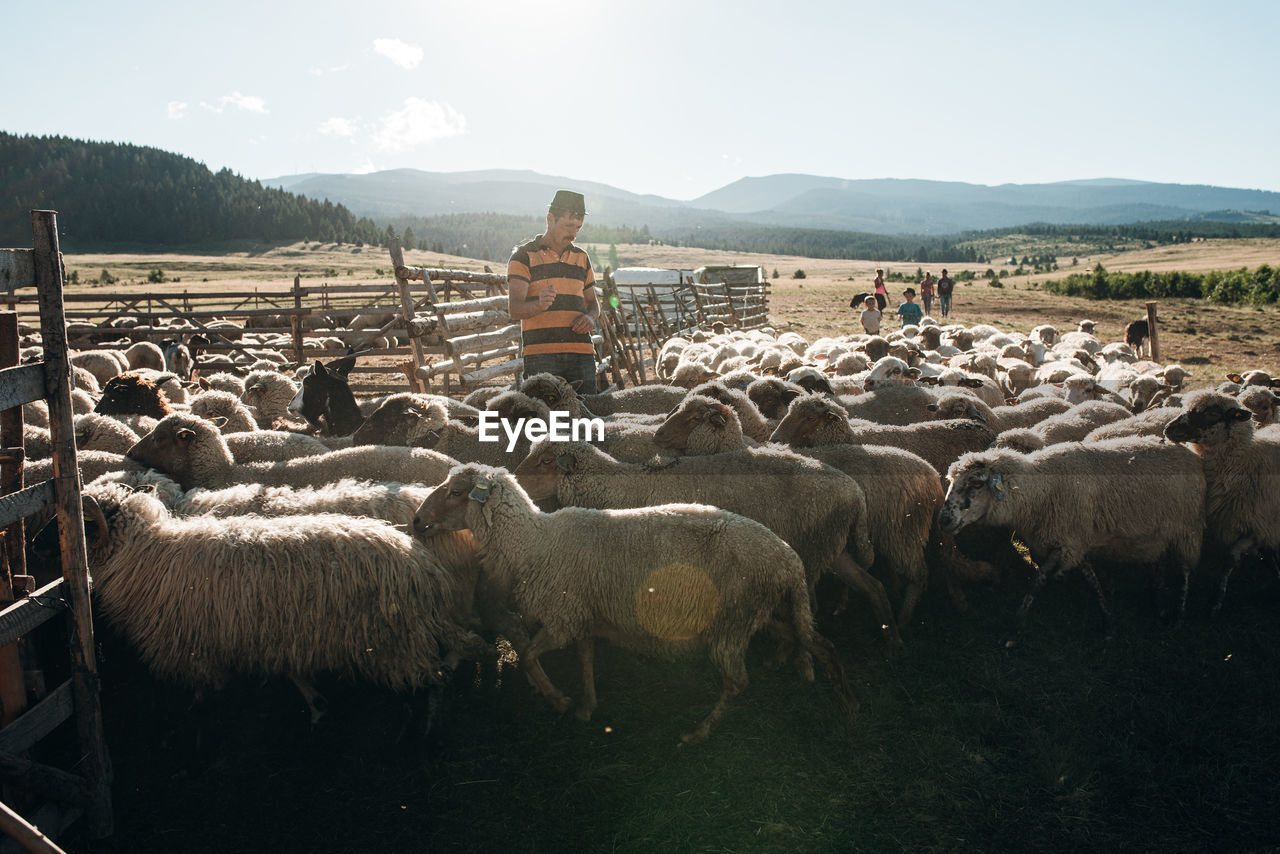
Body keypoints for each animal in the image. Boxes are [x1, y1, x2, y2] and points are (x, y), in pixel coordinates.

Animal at [49, 483, 483, 727]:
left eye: (81, 525)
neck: (143, 554)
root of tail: (417, 561)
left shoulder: (190, 652)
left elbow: (205, 696)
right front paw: (315, 703)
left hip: (393, 641)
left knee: (427, 682)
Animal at [414, 460, 855, 742]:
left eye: (455, 492)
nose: (417, 521)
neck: (533, 543)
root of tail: (788, 557)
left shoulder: (562, 617)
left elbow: (528, 657)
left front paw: (558, 700)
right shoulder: (583, 615)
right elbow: (585, 659)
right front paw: (586, 706)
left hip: (731, 624)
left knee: (738, 682)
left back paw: (698, 732)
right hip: (757, 613)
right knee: (818, 642)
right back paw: (843, 701)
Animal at [942, 445, 1198, 637]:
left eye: (976, 483)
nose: (943, 519)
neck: (1041, 489)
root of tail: (1190, 452)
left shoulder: (1067, 539)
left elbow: (1039, 579)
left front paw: (1017, 623)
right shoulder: (1072, 539)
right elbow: (1089, 575)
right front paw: (1109, 619)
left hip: (1186, 529)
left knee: (1186, 571)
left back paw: (1179, 615)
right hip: (1159, 533)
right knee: (1159, 562)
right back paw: (1160, 601)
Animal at [1162, 394, 1280, 614]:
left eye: (1212, 413)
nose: (1169, 428)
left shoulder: (1257, 526)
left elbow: (1230, 558)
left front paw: (1216, 601)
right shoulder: (1262, 527)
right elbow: (1268, 557)